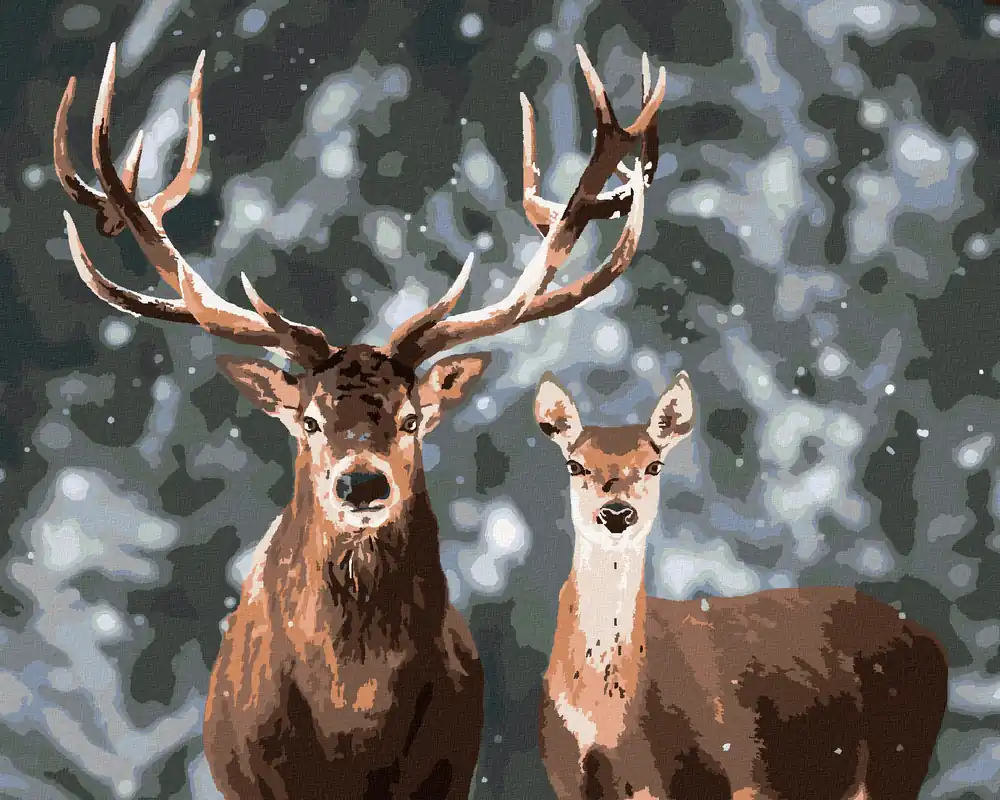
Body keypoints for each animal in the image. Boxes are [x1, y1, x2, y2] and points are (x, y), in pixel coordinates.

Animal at [533, 372, 949, 800]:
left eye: (653, 465)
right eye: (574, 464)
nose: (616, 513)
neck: (608, 717)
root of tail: (933, 640)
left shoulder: (733, 769)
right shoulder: (567, 778)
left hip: (897, 756)